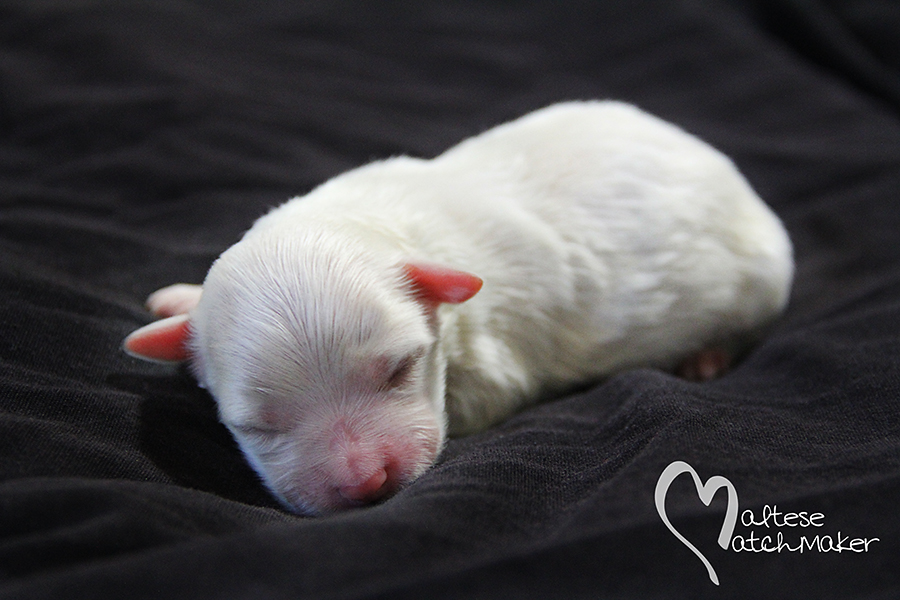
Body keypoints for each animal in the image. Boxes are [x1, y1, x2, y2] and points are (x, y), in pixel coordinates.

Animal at [123, 101, 792, 512]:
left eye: (400, 370)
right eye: (258, 426)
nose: (366, 483)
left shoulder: (499, 365)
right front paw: (181, 301)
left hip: (764, 275)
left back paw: (705, 357)